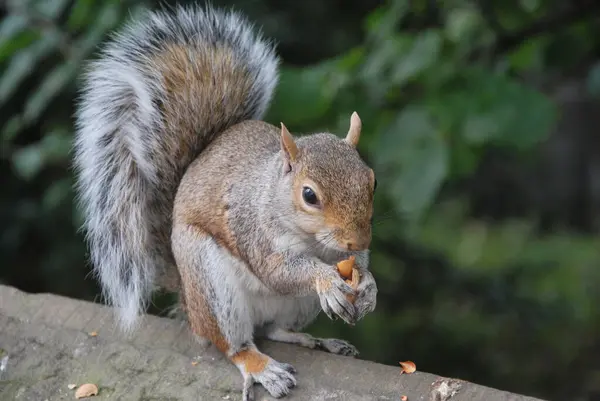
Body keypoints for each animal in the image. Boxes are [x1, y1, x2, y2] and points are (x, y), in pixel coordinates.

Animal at [72, 3, 378, 400]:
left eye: (372, 180)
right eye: (309, 195)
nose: (357, 240)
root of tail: (187, 302)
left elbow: (361, 266)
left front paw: (368, 287)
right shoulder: (254, 231)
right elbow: (280, 272)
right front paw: (324, 278)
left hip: (296, 306)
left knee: (274, 328)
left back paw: (318, 341)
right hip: (210, 283)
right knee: (233, 343)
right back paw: (262, 367)